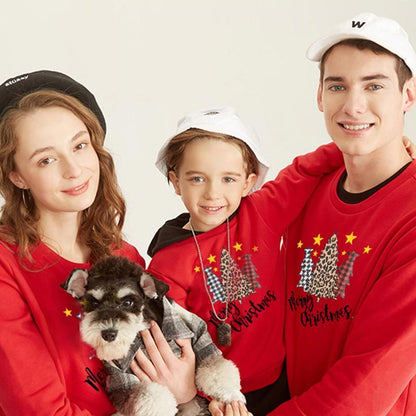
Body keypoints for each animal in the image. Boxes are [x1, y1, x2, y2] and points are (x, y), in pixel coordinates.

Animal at [61, 254, 244, 416]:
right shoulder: (121, 379)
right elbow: (149, 397)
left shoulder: (196, 334)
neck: (140, 335)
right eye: (93, 302)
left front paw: (231, 393)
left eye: (128, 302)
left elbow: (215, 365)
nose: (108, 334)